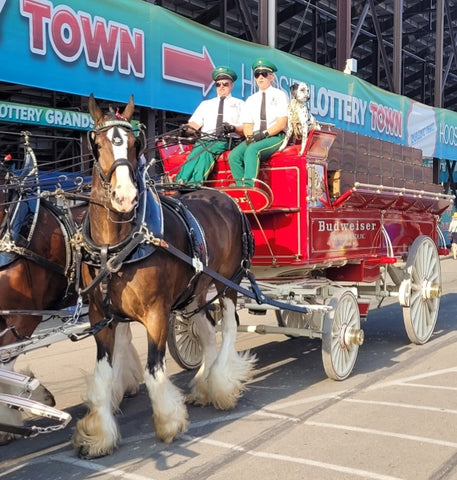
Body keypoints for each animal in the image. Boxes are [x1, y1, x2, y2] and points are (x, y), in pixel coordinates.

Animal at [73, 94, 255, 458]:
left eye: (134, 143)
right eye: (97, 145)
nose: (125, 197)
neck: (116, 248)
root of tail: (226, 197)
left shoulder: (156, 313)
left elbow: (153, 370)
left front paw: (169, 421)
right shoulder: (101, 317)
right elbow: (103, 374)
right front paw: (98, 434)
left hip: (227, 281)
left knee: (228, 327)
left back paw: (223, 384)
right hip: (195, 290)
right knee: (207, 332)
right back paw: (204, 385)